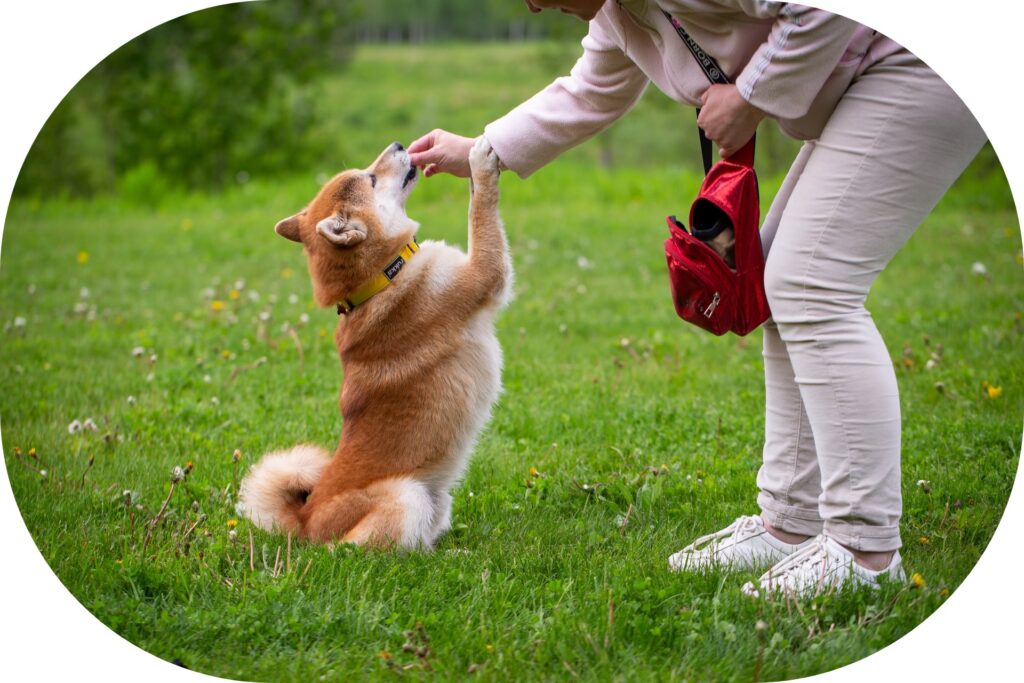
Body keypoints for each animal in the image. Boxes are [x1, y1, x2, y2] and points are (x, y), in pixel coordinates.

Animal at [237, 137, 512, 548]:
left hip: (434, 501)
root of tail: (304, 522)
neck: (383, 277)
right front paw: (479, 161)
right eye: (370, 178)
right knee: (359, 550)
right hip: (405, 495)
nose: (398, 144)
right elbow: (480, 209)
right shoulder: (485, 273)